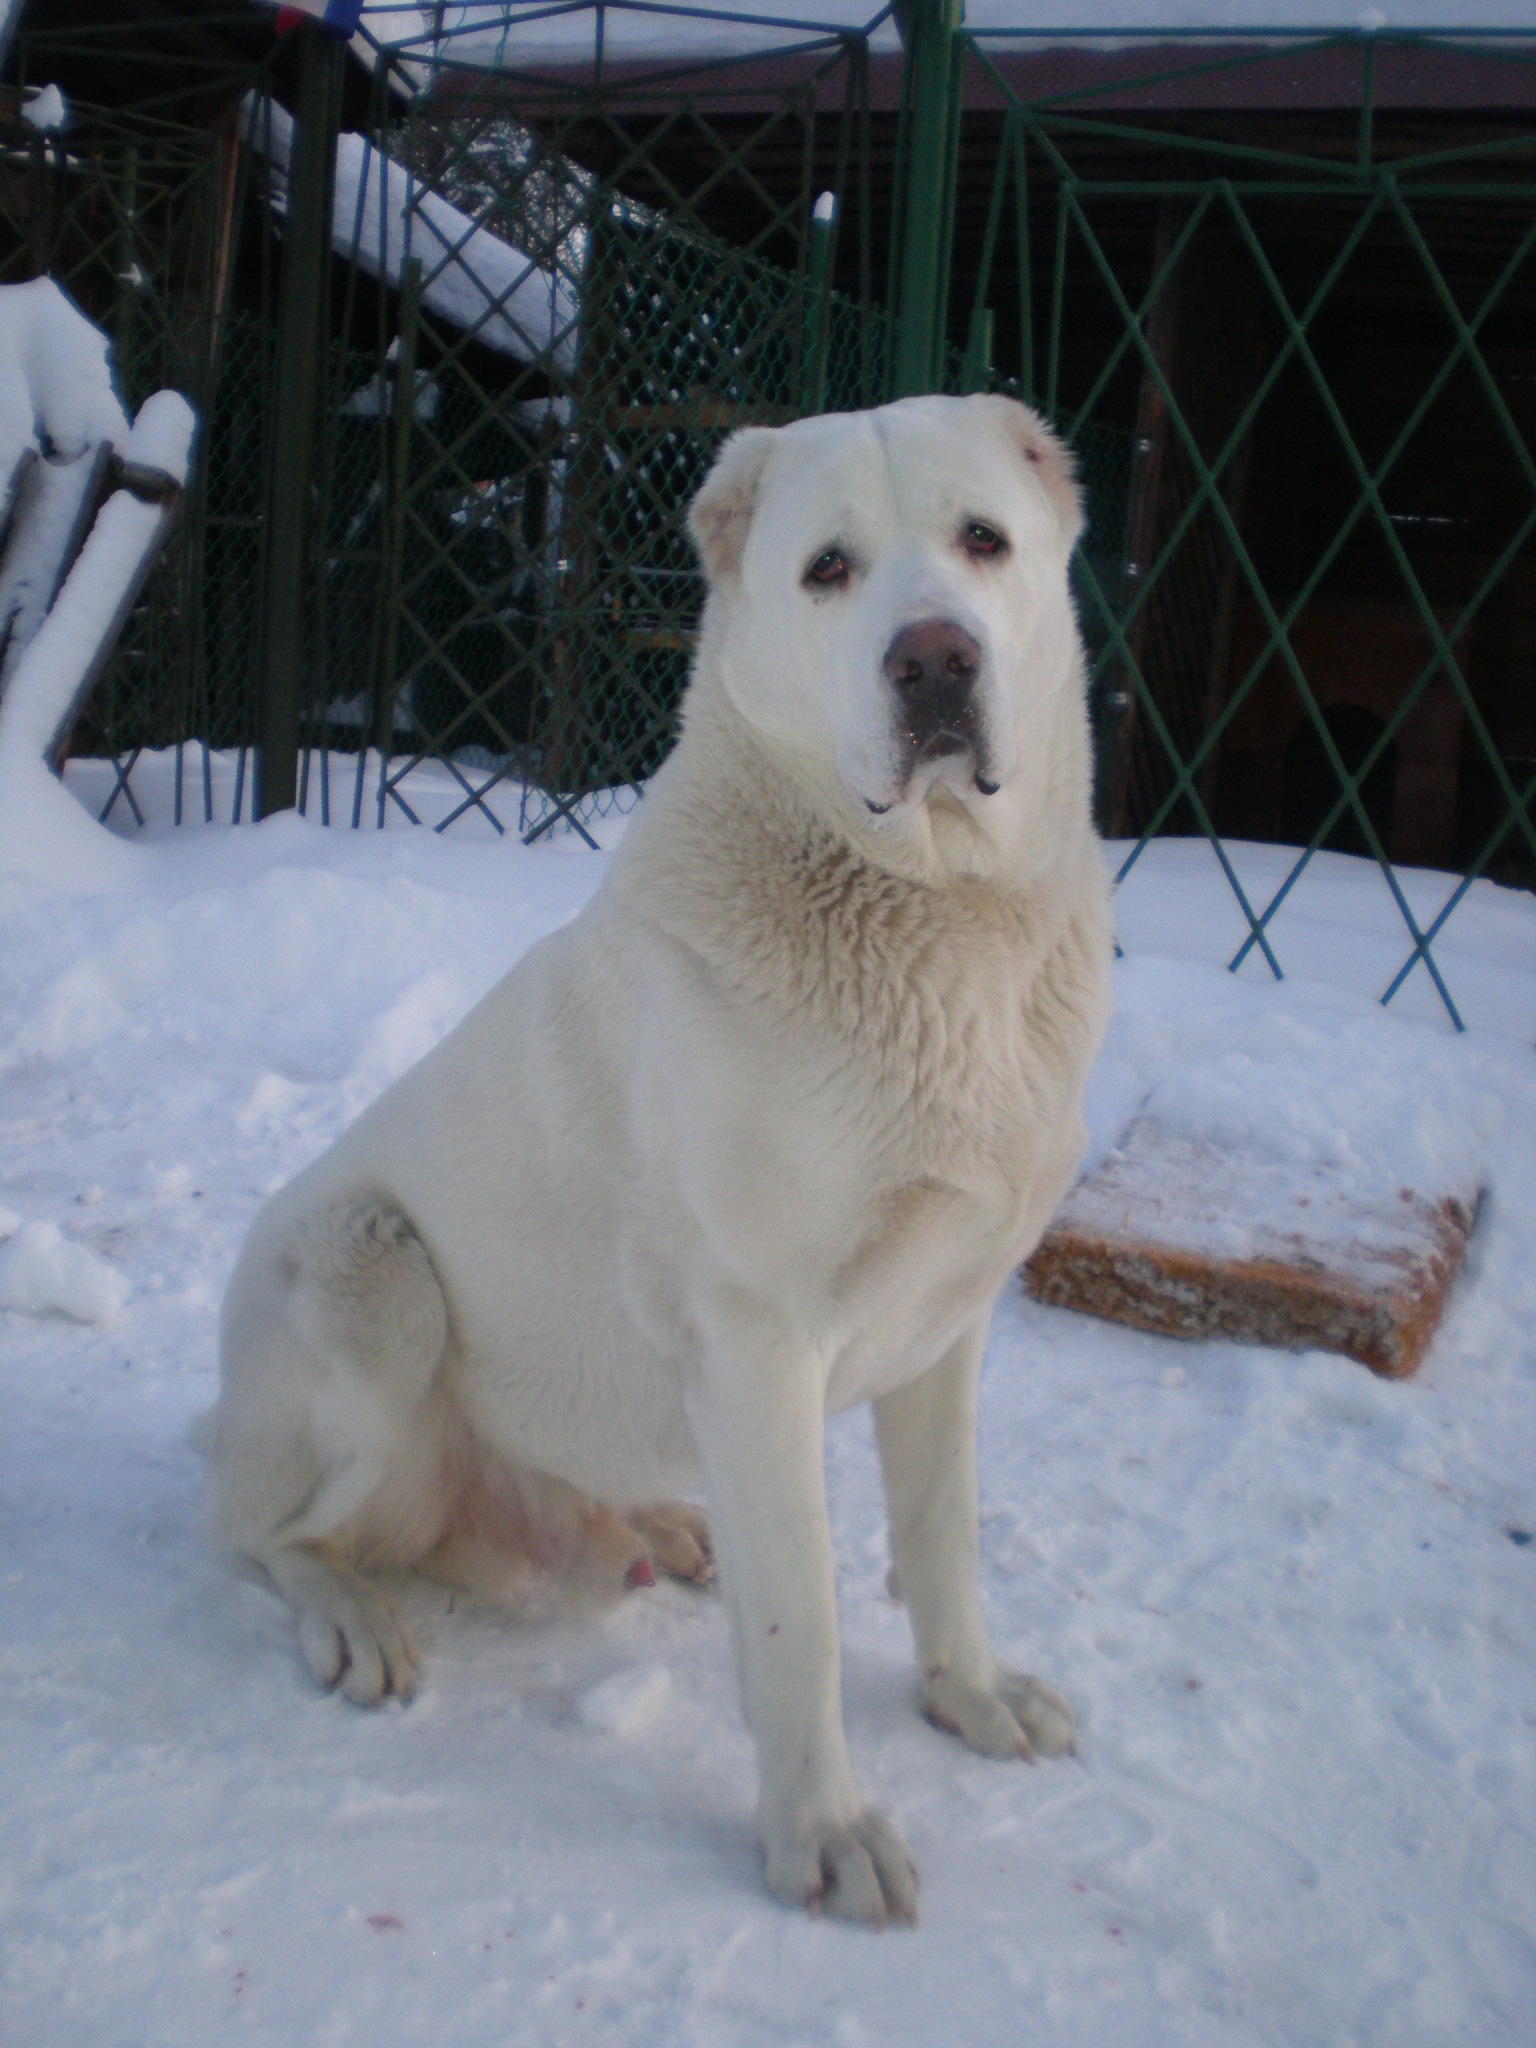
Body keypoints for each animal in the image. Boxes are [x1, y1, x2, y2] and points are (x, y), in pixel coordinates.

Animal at [205, 393, 1113, 1925]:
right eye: (828, 571)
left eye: (984, 540)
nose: (936, 657)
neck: (939, 919)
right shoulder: (759, 1345)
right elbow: (801, 1617)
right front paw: (823, 1834)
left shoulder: (948, 1327)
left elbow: (942, 1539)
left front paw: (970, 1698)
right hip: (370, 1280)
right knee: (265, 1535)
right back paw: (352, 1615)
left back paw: (665, 1525)